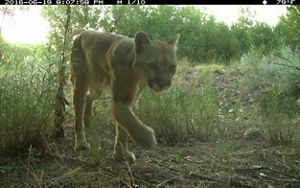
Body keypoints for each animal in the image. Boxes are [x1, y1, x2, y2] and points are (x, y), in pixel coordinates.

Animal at [70, 30, 179, 162]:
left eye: (172, 67)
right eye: (152, 65)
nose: (164, 84)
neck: (137, 74)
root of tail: (81, 34)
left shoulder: (130, 100)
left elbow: (123, 128)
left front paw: (121, 154)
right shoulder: (119, 101)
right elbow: (129, 121)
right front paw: (147, 139)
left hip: (97, 87)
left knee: (89, 97)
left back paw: (88, 121)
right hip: (80, 82)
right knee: (78, 111)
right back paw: (81, 143)